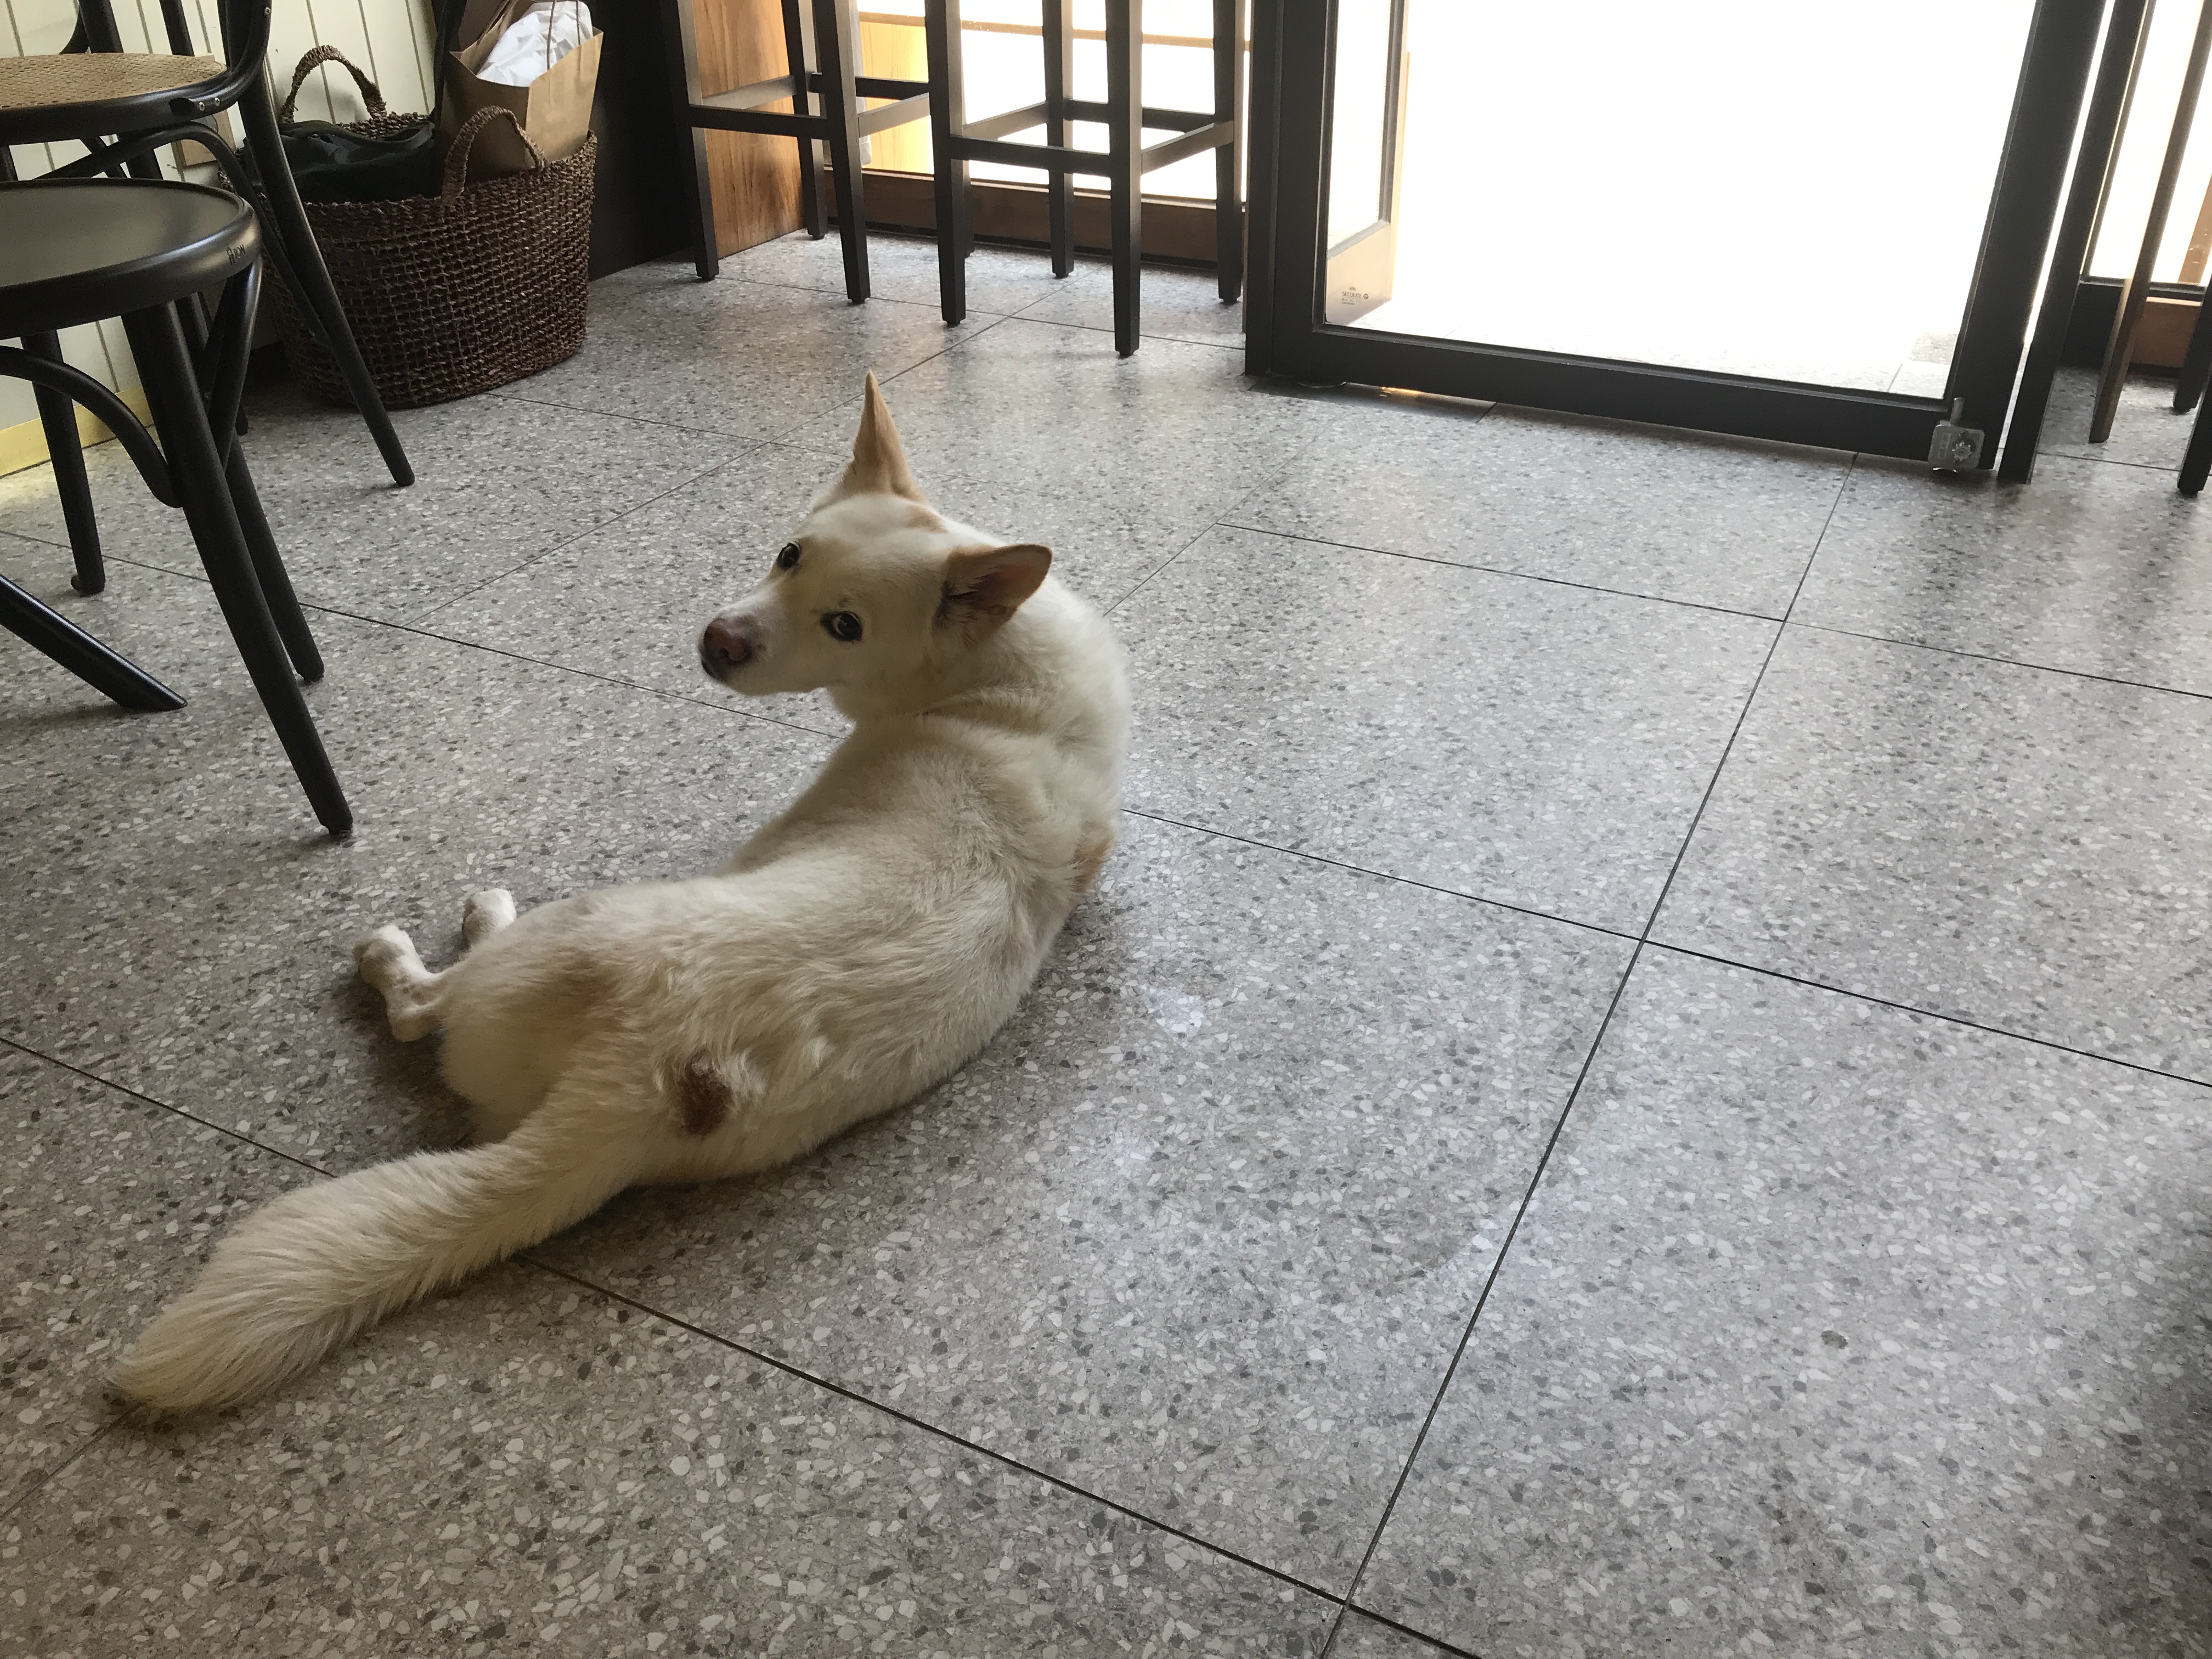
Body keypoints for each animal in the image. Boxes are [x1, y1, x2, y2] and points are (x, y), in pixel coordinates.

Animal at [116, 374, 1130, 1411]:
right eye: (789, 554)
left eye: (845, 625)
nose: (718, 639)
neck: (989, 689)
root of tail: (647, 1084)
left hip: (571, 928)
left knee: (419, 1008)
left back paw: (445, 935)